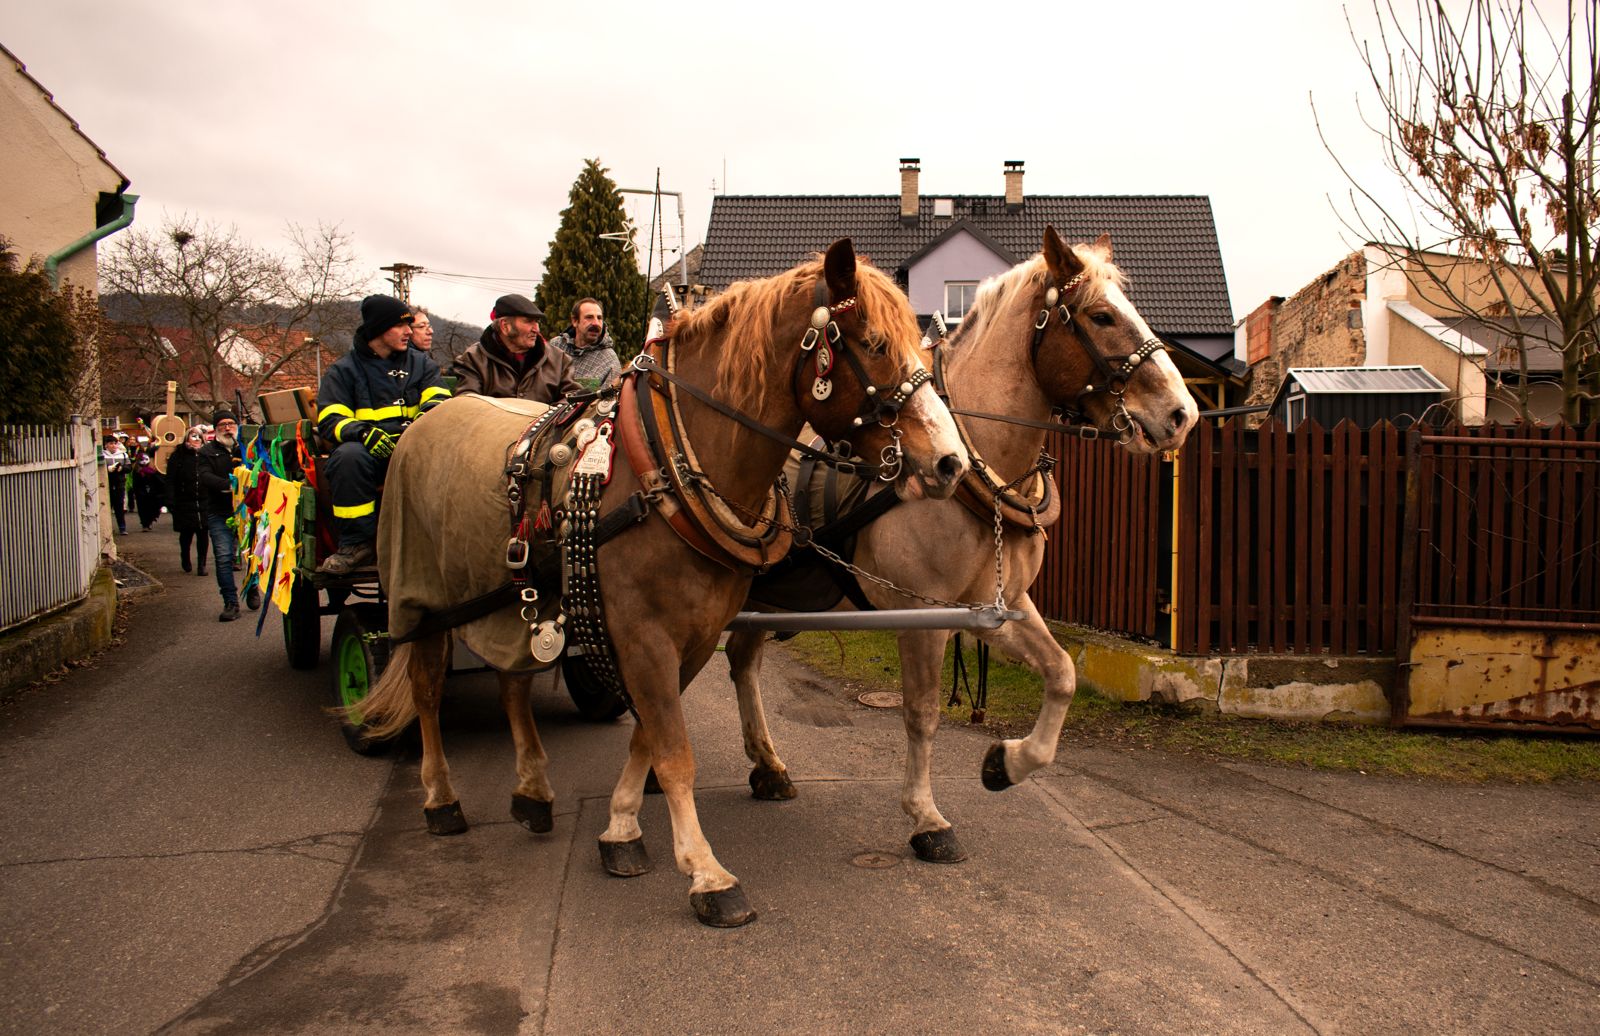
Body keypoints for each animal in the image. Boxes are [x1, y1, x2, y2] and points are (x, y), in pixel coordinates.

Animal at [351, 239, 969, 927]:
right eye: (875, 343)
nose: (951, 463)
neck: (668, 467)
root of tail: (424, 421)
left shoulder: (693, 636)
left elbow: (649, 735)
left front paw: (621, 828)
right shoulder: (643, 635)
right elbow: (674, 753)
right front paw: (706, 873)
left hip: (520, 600)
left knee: (514, 683)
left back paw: (533, 791)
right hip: (421, 601)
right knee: (428, 690)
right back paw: (441, 799)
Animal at [722, 226, 1199, 863]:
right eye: (1101, 316)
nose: (1183, 414)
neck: (975, 468)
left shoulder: (1002, 605)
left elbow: (1062, 674)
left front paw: (1007, 763)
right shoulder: (922, 618)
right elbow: (921, 714)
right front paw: (926, 818)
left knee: (742, 658)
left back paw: (769, 767)